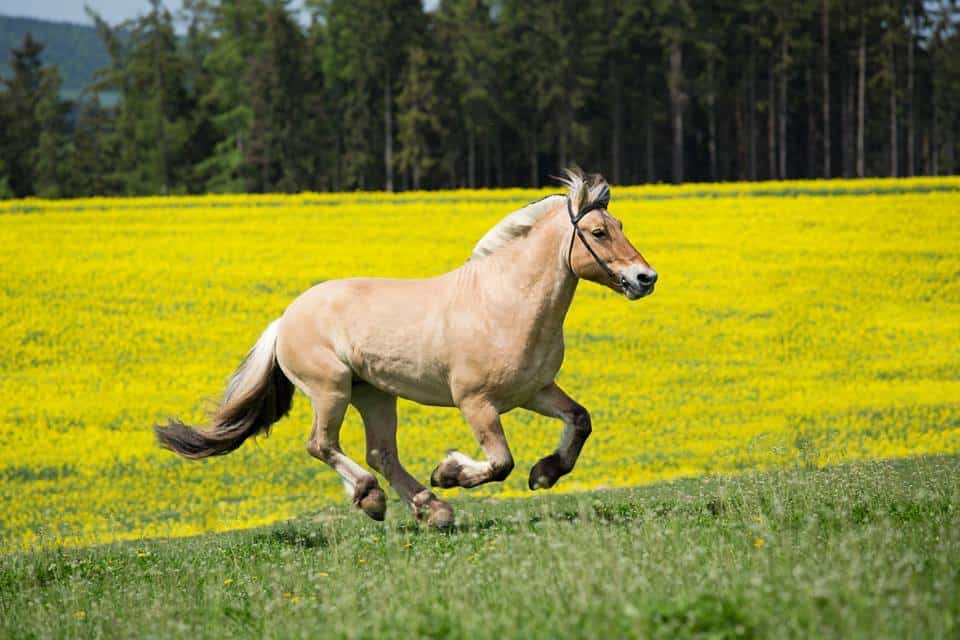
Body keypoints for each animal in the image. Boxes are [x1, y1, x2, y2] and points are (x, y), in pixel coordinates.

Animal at [155, 168, 658, 528]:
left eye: (619, 225)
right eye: (598, 233)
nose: (645, 278)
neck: (504, 303)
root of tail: (285, 320)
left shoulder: (534, 391)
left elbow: (580, 420)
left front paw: (546, 472)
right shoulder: (476, 402)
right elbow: (500, 463)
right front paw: (450, 471)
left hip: (374, 394)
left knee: (381, 453)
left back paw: (430, 510)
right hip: (331, 390)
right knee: (322, 444)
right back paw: (375, 498)